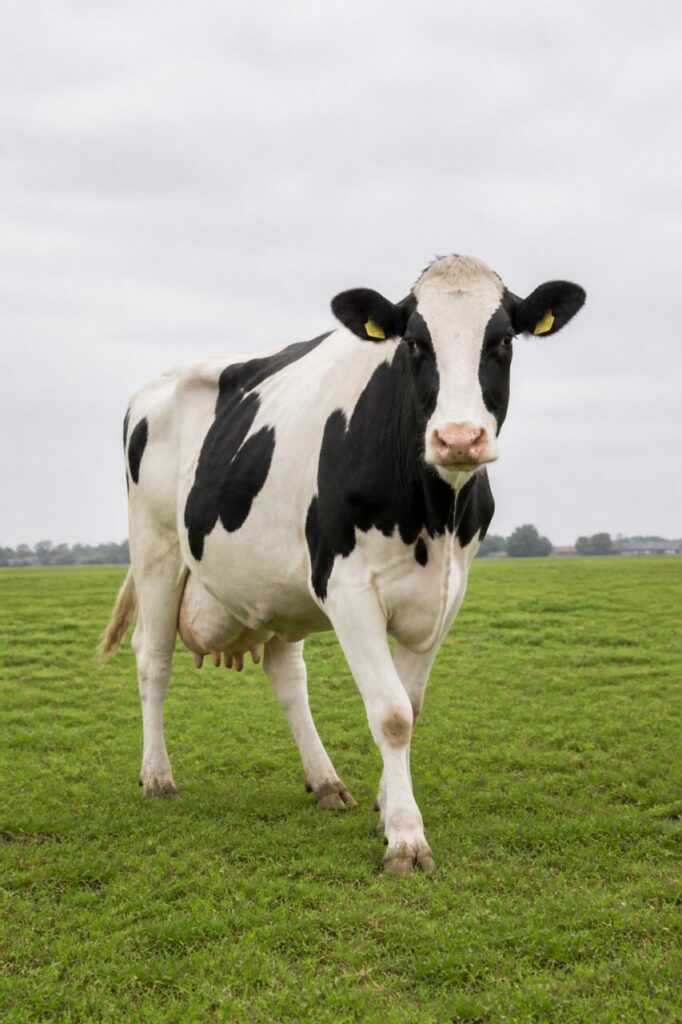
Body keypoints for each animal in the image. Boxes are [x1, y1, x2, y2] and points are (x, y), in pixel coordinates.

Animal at [100, 254, 585, 874]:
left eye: (501, 340)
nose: (457, 439)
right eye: (414, 344)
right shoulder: (347, 587)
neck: (434, 514)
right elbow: (392, 714)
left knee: (287, 676)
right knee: (153, 660)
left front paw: (386, 808)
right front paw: (406, 837)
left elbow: (411, 706)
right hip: (157, 549)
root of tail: (159, 382)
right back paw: (158, 778)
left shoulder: (445, 595)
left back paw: (325, 781)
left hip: (275, 586)